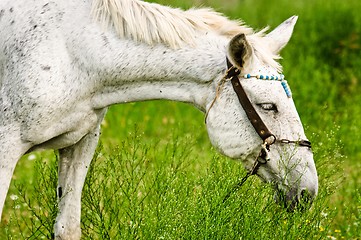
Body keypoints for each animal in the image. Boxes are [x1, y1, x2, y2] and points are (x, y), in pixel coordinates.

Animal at [0, 0, 316, 238]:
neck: (72, 51)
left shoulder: (79, 145)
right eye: (268, 106)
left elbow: (68, 228)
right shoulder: (6, 150)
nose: (307, 192)